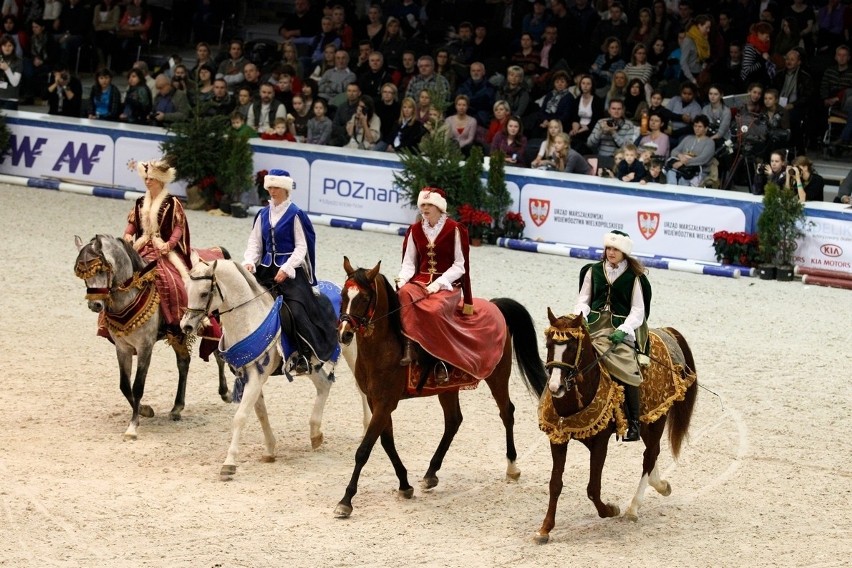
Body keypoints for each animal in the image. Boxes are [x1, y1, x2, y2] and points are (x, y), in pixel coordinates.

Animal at [73, 235, 231, 440]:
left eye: (100, 269)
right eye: (82, 274)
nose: (95, 305)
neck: (130, 295)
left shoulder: (145, 346)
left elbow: (137, 385)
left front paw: (133, 426)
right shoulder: (122, 347)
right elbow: (125, 386)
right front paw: (145, 410)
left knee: (219, 355)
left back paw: (225, 392)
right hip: (177, 333)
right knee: (184, 362)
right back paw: (177, 407)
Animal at [180, 260, 366, 478]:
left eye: (203, 294)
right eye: (186, 289)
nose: (186, 326)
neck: (249, 318)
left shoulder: (256, 377)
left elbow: (240, 417)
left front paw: (229, 462)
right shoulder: (248, 375)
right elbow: (261, 414)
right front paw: (270, 450)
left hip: (352, 352)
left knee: (361, 388)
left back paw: (365, 429)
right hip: (311, 364)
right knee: (324, 385)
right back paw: (315, 434)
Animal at [332, 258, 544, 520]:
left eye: (363, 298)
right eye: (343, 295)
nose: (344, 333)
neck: (385, 347)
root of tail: (495, 306)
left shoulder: (385, 403)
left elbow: (364, 450)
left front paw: (346, 500)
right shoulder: (375, 401)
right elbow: (387, 443)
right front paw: (405, 484)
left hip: (498, 375)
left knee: (506, 413)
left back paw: (512, 466)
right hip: (448, 388)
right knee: (454, 421)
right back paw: (431, 473)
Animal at [536, 308, 696, 544]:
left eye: (572, 347)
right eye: (548, 345)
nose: (556, 387)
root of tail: (664, 332)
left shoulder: (600, 442)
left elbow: (593, 488)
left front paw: (611, 510)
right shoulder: (558, 438)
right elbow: (555, 484)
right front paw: (545, 529)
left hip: (658, 417)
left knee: (650, 455)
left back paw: (633, 508)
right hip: (647, 420)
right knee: (653, 452)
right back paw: (661, 485)